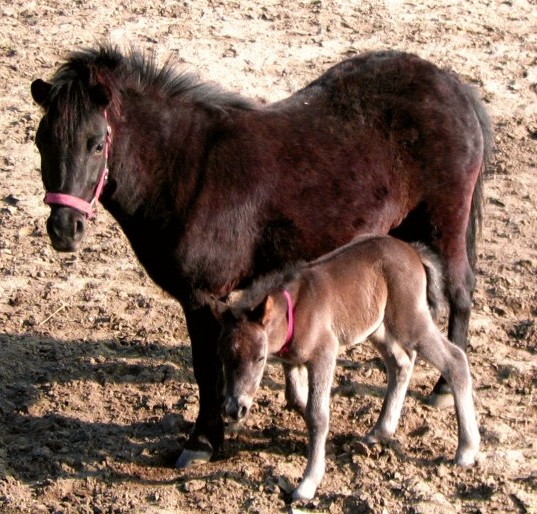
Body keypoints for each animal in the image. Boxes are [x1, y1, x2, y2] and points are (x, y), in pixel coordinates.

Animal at [29, 46, 490, 466]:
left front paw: (202, 442)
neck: (186, 172)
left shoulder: (203, 298)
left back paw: (443, 388)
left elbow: (207, 369)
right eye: (41, 141)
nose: (64, 230)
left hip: (445, 226)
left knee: (461, 293)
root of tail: (454, 86)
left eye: (96, 144)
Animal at [208, 236, 478, 500]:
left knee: (455, 360)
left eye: (260, 358)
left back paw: (466, 450)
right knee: (400, 363)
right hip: (377, 327)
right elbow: (298, 401)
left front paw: (308, 484)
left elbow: (317, 415)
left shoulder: (325, 353)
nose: (234, 408)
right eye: (221, 355)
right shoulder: (293, 361)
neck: (295, 310)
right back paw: (380, 431)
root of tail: (412, 251)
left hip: (409, 321)